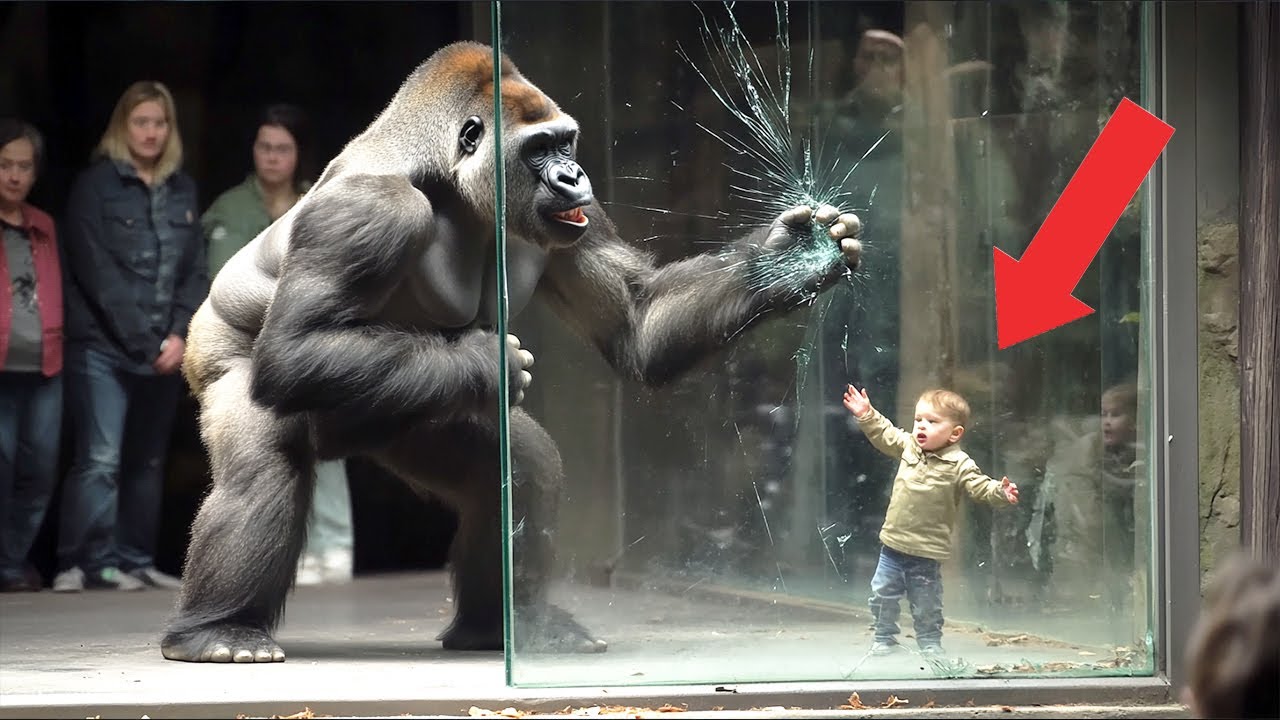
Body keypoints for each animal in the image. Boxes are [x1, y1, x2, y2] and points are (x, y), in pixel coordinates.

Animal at [161, 41, 862, 663]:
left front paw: (789, 260)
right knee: (265, 458)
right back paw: (217, 630)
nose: (574, 175)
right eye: (538, 149)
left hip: (397, 417)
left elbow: (636, 319)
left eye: (567, 143)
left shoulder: (574, 219)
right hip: (217, 360)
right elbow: (297, 346)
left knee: (521, 466)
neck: (443, 174)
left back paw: (500, 624)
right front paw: (486, 360)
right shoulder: (370, 207)